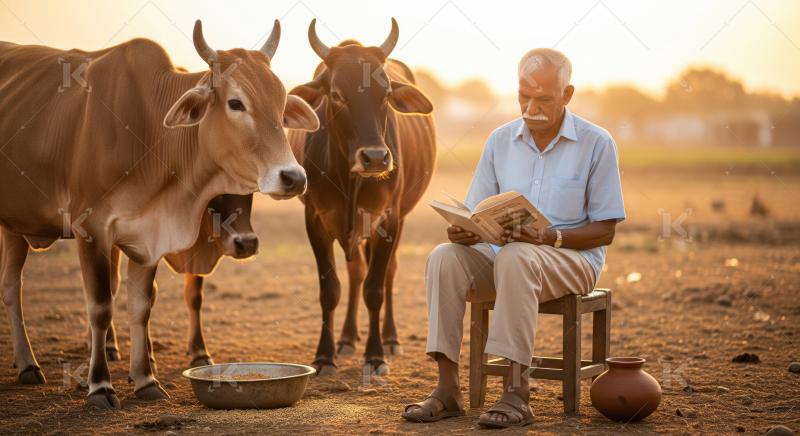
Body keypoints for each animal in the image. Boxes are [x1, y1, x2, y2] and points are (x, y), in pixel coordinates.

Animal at [0, 19, 318, 409]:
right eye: (235, 103)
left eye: (282, 103)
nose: (294, 177)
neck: (150, 134)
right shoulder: (92, 229)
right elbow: (100, 306)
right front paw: (99, 385)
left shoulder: (148, 236)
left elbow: (140, 306)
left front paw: (145, 380)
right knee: (12, 287)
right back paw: (28, 365)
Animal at [288, 18, 436, 376]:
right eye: (336, 94)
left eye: (386, 93)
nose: (376, 158)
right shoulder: (316, 220)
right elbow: (331, 289)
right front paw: (325, 356)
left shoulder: (388, 220)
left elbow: (375, 288)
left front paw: (376, 355)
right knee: (355, 274)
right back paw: (346, 338)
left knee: (388, 272)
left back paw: (391, 338)